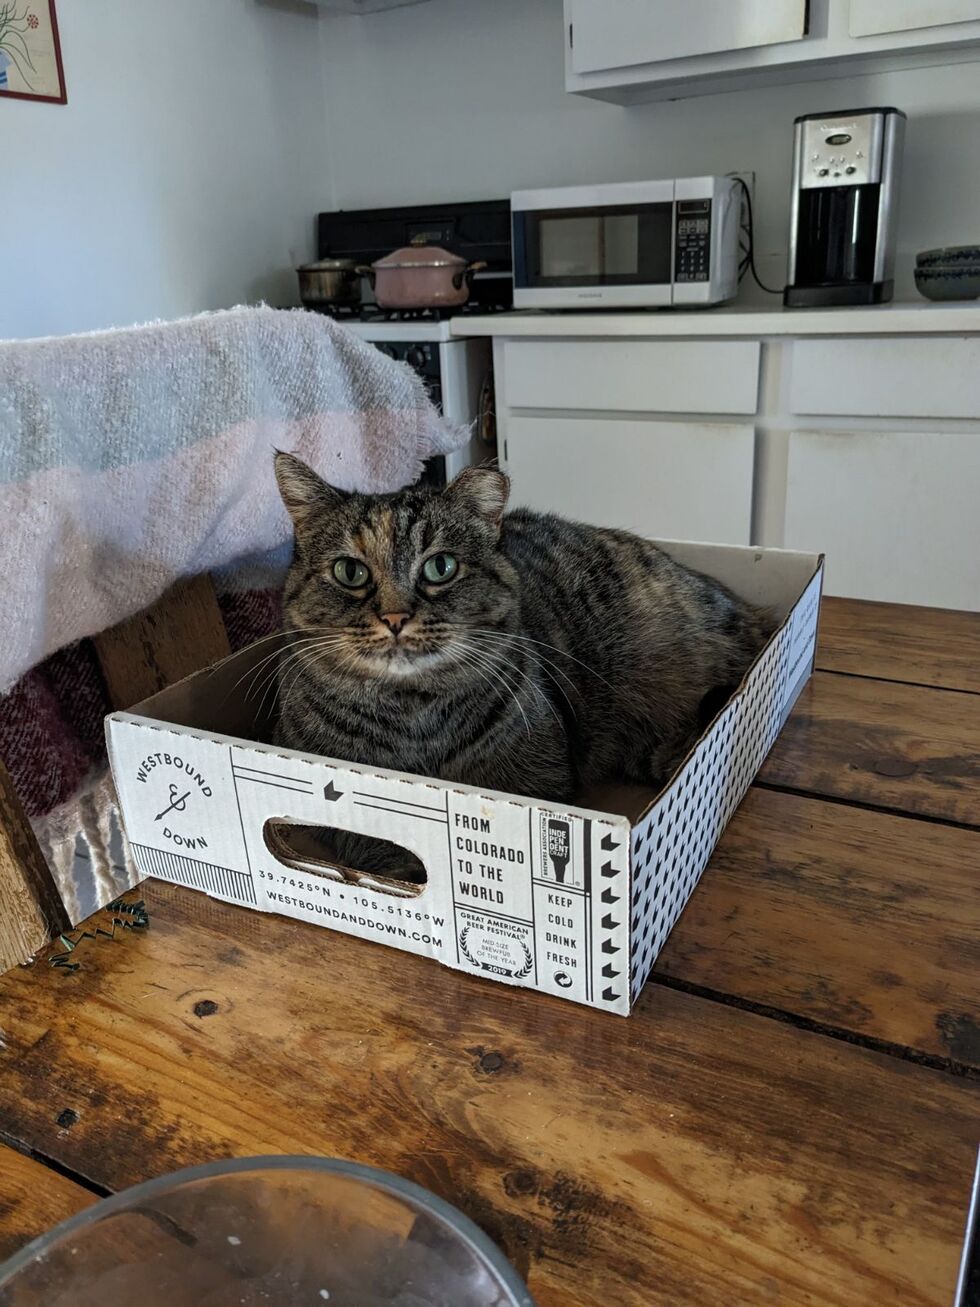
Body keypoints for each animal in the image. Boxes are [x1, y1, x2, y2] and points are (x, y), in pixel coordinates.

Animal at [271, 454, 772, 878]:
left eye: (440, 567)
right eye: (349, 572)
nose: (395, 618)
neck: (414, 718)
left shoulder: (540, 781)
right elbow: (371, 843)